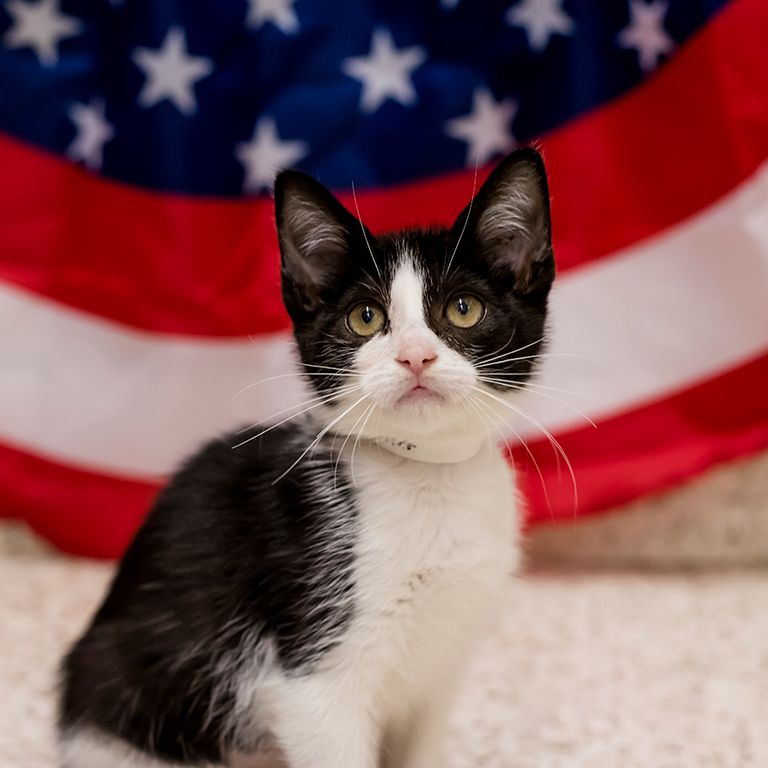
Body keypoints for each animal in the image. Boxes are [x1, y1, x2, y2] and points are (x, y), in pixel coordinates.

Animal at [57, 146, 556, 768]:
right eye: (365, 317)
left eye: (464, 309)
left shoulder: (440, 667)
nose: (415, 357)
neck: (428, 476)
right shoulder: (310, 678)